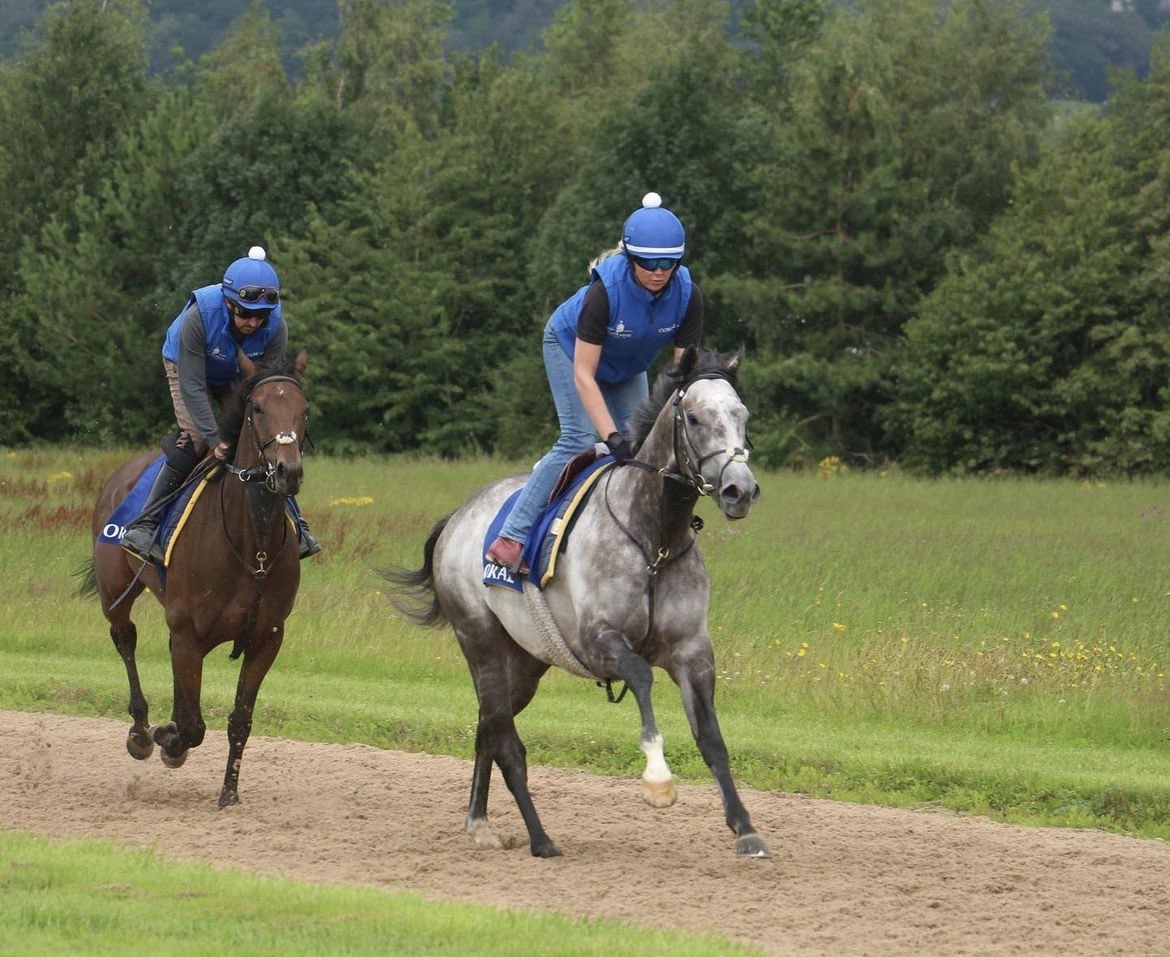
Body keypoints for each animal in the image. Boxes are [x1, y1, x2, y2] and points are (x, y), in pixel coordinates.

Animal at [75, 348, 308, 804]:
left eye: (304, 409)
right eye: (257, 408)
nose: (287, 470)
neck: (251, 546)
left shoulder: (267, 638)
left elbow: (239, 720)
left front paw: (229, 793)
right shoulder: (188, 633)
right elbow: (194, 727)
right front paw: (167, 739)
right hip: (115, 590)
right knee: (125, 638)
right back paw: (140, 732)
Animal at [383, 343, 767, 856]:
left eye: (741, 414)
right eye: (694, 417)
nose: (739, 489)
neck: (654, 540)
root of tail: (456, 518)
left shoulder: (692, 649)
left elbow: (712, 740)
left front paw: (746, 829)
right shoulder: (599, 640)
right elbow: (641, 676)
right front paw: (658, 778)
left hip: (525, 662)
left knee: (489, 726)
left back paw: (479, 822)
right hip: (480, 640)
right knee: (506, 742)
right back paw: (540, 838)